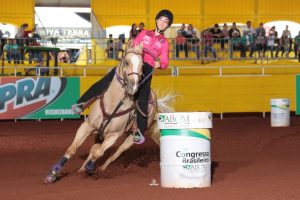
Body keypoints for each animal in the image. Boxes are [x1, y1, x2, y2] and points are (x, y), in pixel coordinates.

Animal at [44, 41, 176, 184]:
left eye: (142, 66)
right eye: (126, 62)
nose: (133, 87)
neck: (113, 103)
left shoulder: (113, 136)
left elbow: (98, 153)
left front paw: (91, 167)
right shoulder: (87, 126)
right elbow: (72, 149)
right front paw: (52, 174)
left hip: (130, 137)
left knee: (115, 153)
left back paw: (98, 168)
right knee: (93, 149)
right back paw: (82, 169)